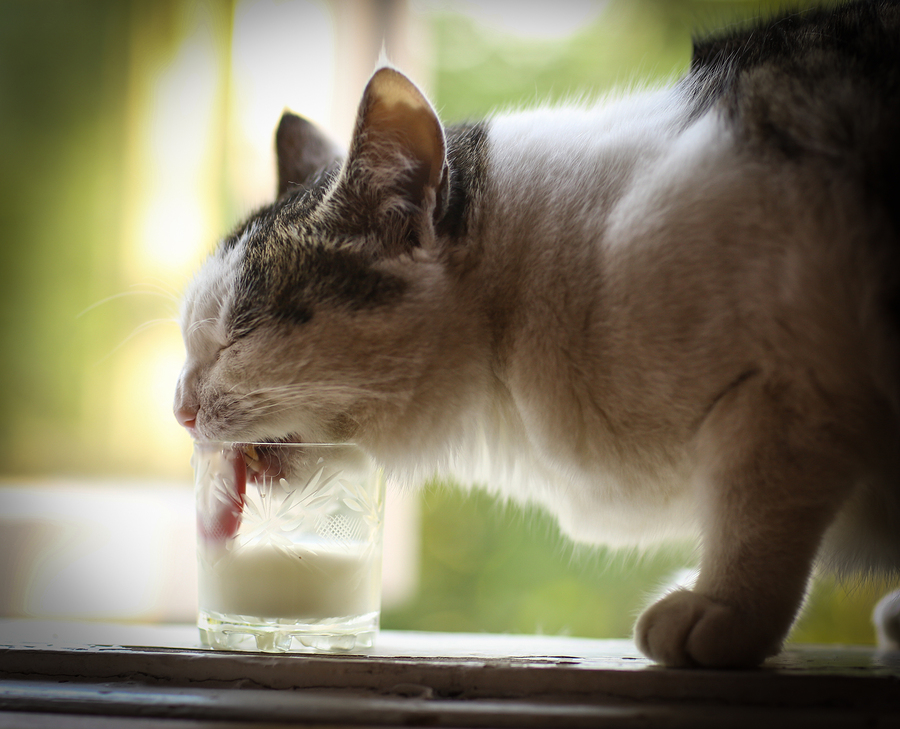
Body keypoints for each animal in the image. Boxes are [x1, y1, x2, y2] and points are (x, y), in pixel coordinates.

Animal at [174, 0, 900, 668]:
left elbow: (754, 507)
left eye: (238, 334)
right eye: (190, 342)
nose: (179, 409)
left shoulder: (794, 382)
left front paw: (725, 607)